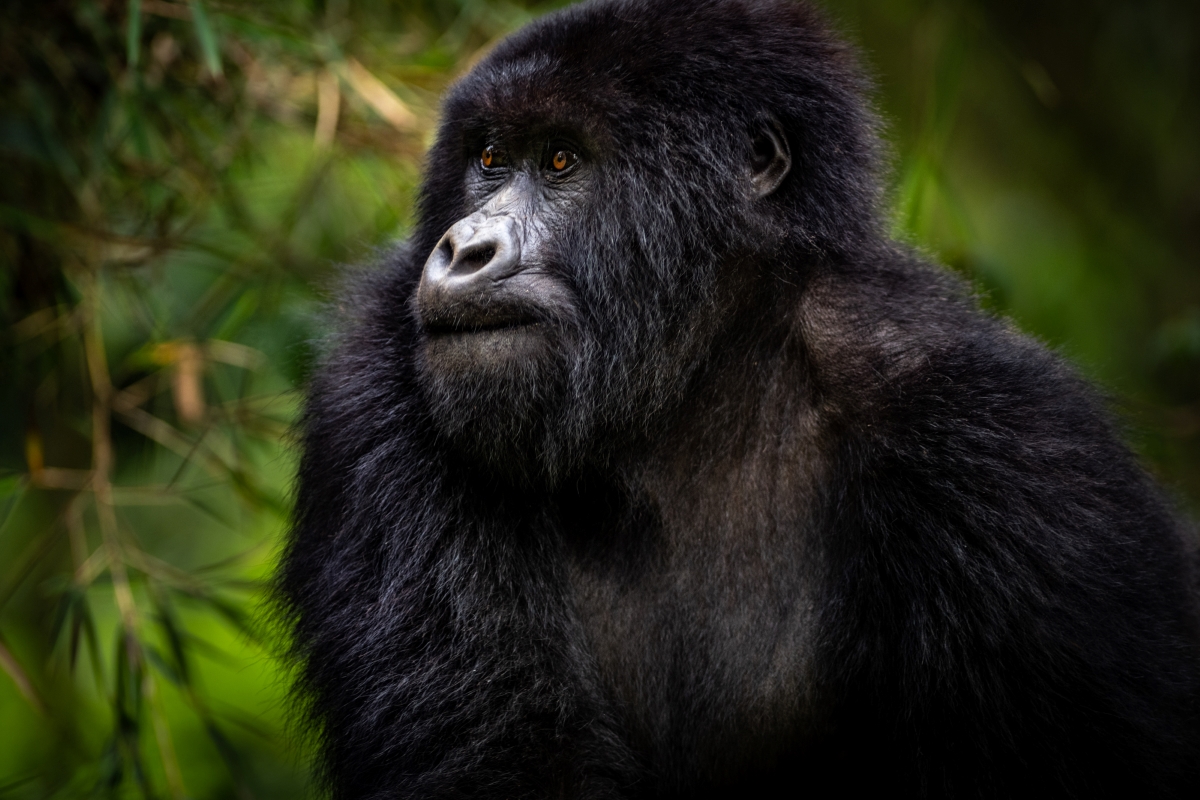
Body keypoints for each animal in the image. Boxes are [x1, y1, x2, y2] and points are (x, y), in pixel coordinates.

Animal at [280, 0, 1200, 796]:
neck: (701, 379)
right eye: (490, 160)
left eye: (561, 161)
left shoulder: (1017, 455)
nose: (464, 249)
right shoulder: (375, 385)